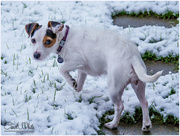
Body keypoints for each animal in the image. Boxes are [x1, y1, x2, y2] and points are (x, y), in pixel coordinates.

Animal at [25, 21, 163, 132]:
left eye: (48, 41)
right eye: (33, 40)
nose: (35, 55)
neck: (64, 39)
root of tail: (132, 56)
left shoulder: (76, 61)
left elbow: (62, 69)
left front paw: (70, 81)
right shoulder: (82, 70)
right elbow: (79, 84)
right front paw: (75, 86)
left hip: (113, 88)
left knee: (120, 106)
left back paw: (113, 124)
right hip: (138, 84)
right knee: (144, 102)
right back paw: (146, 124)